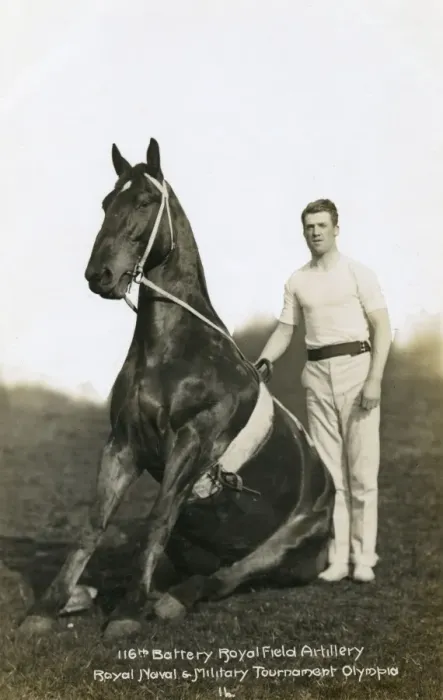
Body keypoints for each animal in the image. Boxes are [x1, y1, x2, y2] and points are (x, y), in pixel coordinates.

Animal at [19, 139, 335, 641]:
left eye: (145, 202)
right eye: (106, 203)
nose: (99, 275)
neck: (173, 354)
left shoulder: (191, 443)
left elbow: (157, 520)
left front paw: (127, 612)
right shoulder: (122, 445)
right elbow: (93, 524)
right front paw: (48, 607)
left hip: (287, 544)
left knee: (225, 577)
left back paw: (167, 601)